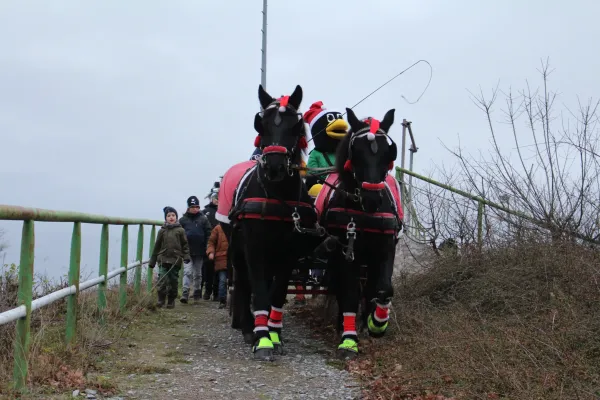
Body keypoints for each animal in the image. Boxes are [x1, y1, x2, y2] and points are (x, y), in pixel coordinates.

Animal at [227, 84, 318, 360]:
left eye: (295, 126)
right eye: (262, 124)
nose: (275, 167)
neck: (277, 196)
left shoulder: (289, 253)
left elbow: (276, 293)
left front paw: (274, 333)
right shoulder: (254, 248)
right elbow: (258, 291)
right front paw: (262, 339)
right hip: (237, 251)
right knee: (243, 284)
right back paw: (247, 326)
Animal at [318, 107, 404, 360]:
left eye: (388, 152)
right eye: (355, 152)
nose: (372, 198)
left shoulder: (386, 248)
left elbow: (383, 288)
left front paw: (377, 323)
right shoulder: (345, 251)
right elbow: (348, 293)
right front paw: (348, 340)